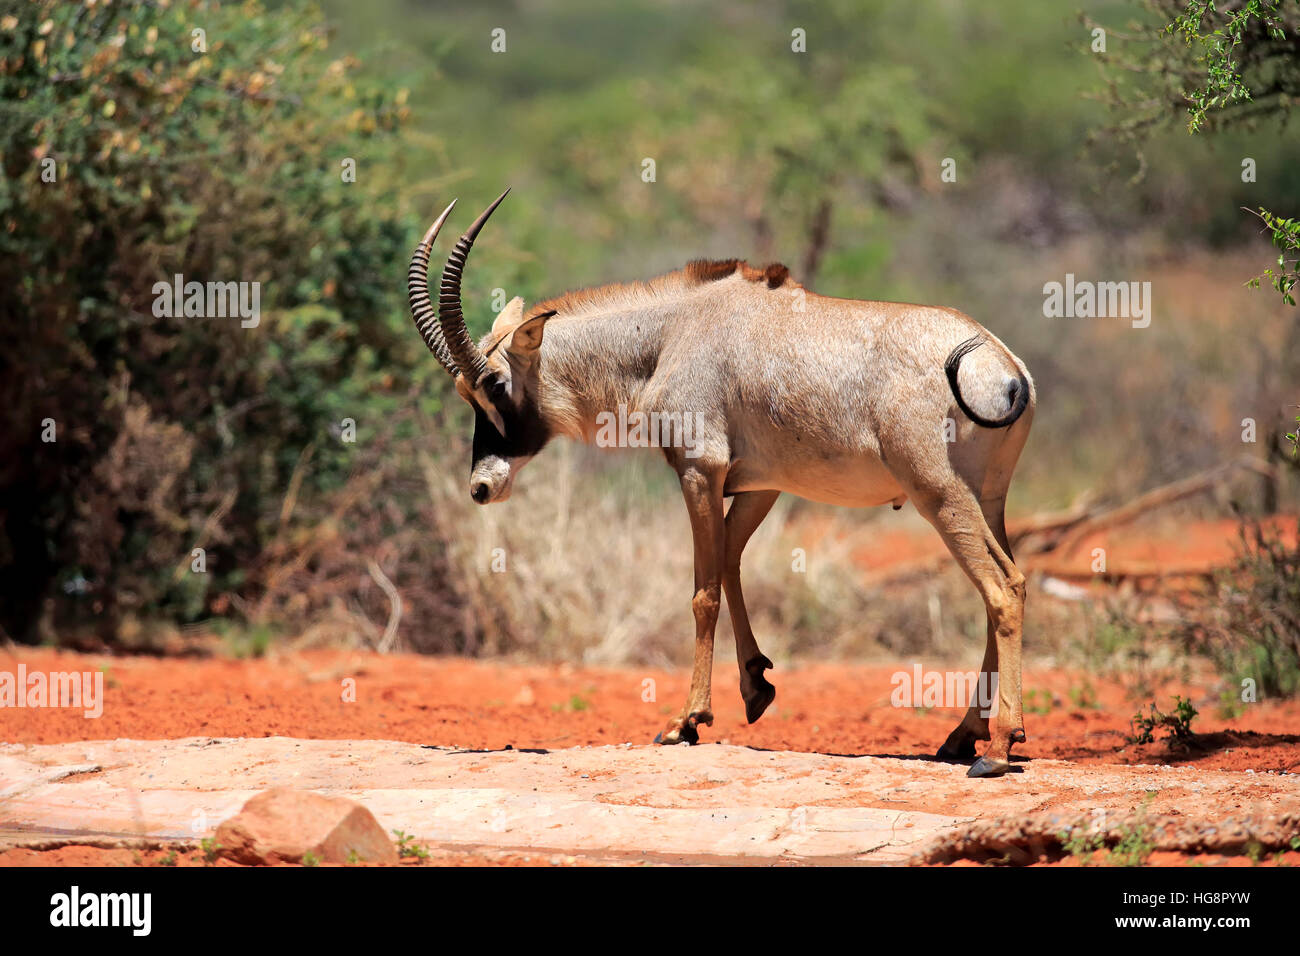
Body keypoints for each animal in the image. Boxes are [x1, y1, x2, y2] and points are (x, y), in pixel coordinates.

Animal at [408, 192, 1034, 780]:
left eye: (494, 382)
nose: (481, 487)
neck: (672, 333)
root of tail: (1004, 365)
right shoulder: (759, 486)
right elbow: (731, 562)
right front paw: (757, 686)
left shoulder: (698, 470)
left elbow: (702, 591)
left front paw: (686, 721)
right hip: (988, 500)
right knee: (1008, 583)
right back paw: (968, 735)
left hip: (939, 495)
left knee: (1002, 587)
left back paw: (995, 749)